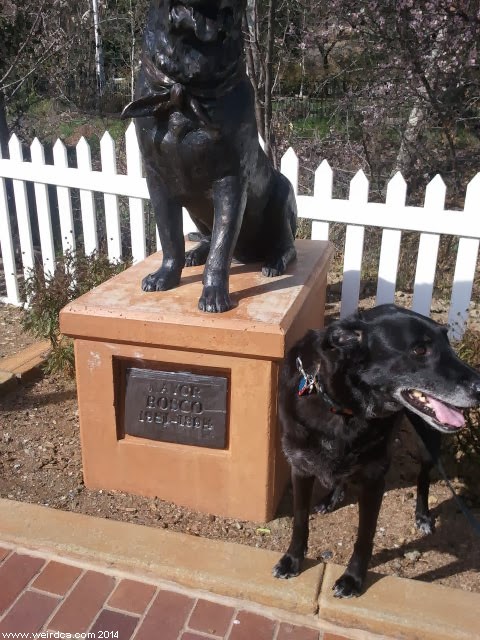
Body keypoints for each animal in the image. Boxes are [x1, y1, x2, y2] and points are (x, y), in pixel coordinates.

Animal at [121, 0, 296, 314]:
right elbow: (170, 237)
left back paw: (274, 262)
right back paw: (196, 252)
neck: (187, 85)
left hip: (281, 196)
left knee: (287, 245)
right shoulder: (156, 176)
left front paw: (214, 294)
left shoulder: (230, 179)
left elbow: (222, 244)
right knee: (204, 236)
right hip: (195, 207)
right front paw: (165, 275)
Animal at [274, 302, 480, 596]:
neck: (344, 409)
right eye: (420, 350)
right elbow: (300, 520)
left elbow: (365, 535)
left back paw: (422, 516)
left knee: (424, 476)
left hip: (428, 439)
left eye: (449, 343)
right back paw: (330, 498)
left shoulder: (374, 480)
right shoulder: (301, 467)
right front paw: (292, 560)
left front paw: (353, 578)